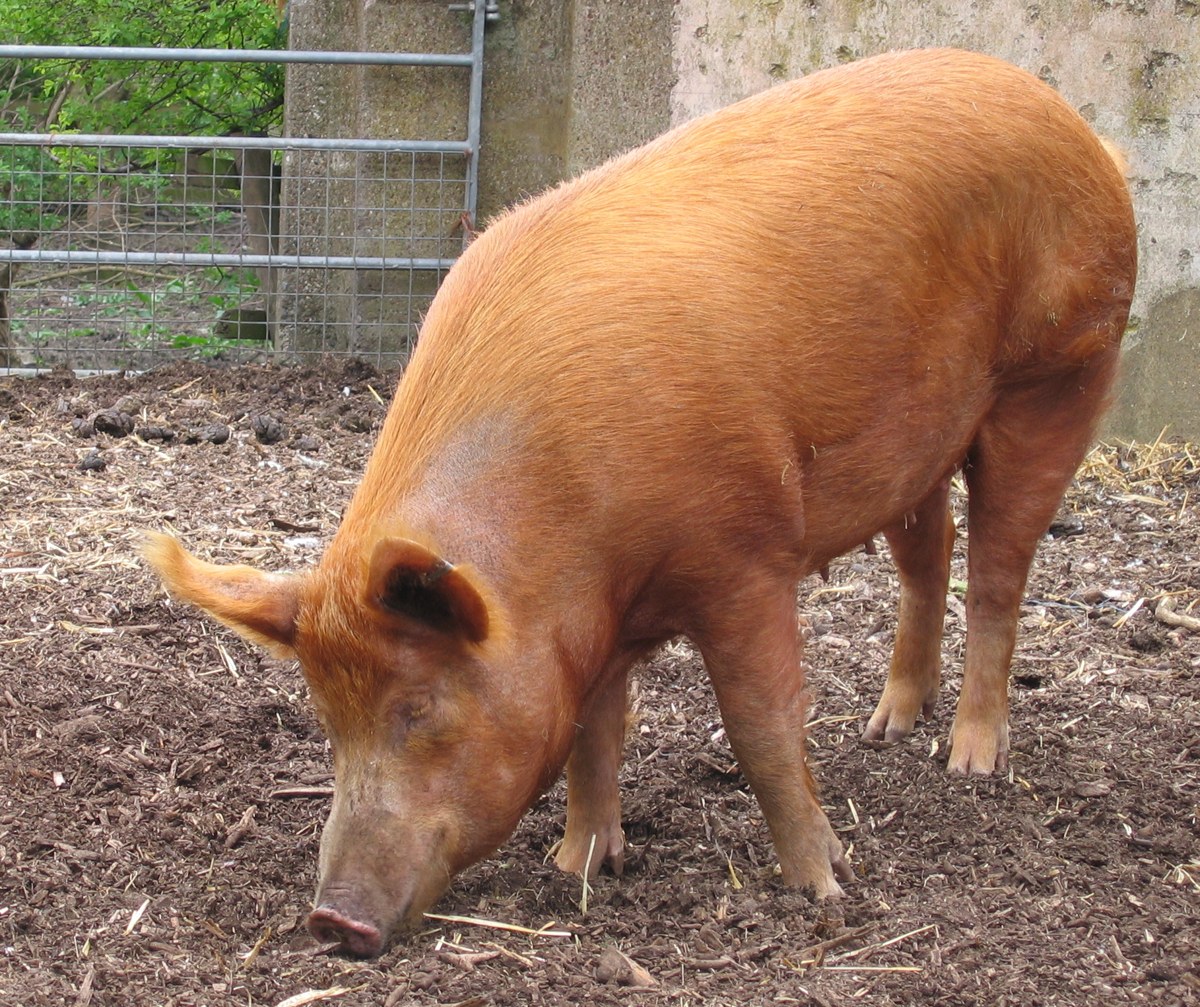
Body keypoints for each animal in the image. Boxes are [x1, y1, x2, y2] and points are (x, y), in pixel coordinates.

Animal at [145, 48, 1137, 958]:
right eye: (326, 718)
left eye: (417, 708)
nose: (333, 919)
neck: (575, 543)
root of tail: (1075, 124)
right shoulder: (593, 622)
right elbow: (593, 730)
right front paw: (579, 865)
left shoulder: (745, 553)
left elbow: (761, 725)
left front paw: (823, 886)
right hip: (919, 441)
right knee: (929, 556)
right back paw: (888, 725)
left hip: (1061, 372)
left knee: (999, 570)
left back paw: (969, 763)